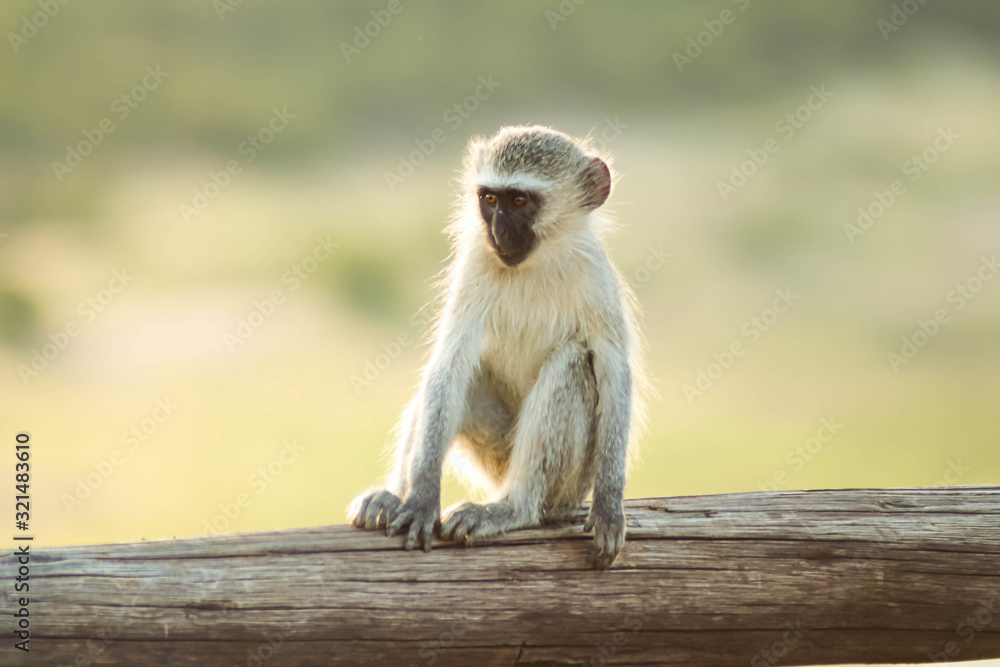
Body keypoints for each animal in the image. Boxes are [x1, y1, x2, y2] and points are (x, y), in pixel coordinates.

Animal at [348, 125, 645, 569]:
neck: (536, 262)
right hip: (493, 447)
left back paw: (513, 509)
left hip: (567, 484)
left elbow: (614, 369)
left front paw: (609, 505)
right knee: (447, 385)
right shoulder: (473, 264)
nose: (498, 233)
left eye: (520, 201)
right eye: (489, 199)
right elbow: (449, 364)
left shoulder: (596, 276)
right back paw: (393, 496)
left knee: (571, 363)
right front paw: (421, 499)